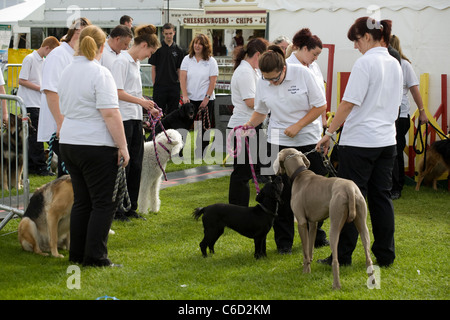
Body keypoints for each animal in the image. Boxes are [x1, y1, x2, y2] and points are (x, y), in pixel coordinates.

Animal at [272, 148, 374, 290]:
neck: (300, 174)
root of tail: (349, 188)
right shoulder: (313, 223)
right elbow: (310, 248)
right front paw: (308, 266)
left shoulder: (302, 222)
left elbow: (305, 250)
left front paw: (305, 271)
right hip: (363, 225)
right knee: (368, 257)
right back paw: (373, 282)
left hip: (334, 225)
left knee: (336, 261)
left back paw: (336, 285)